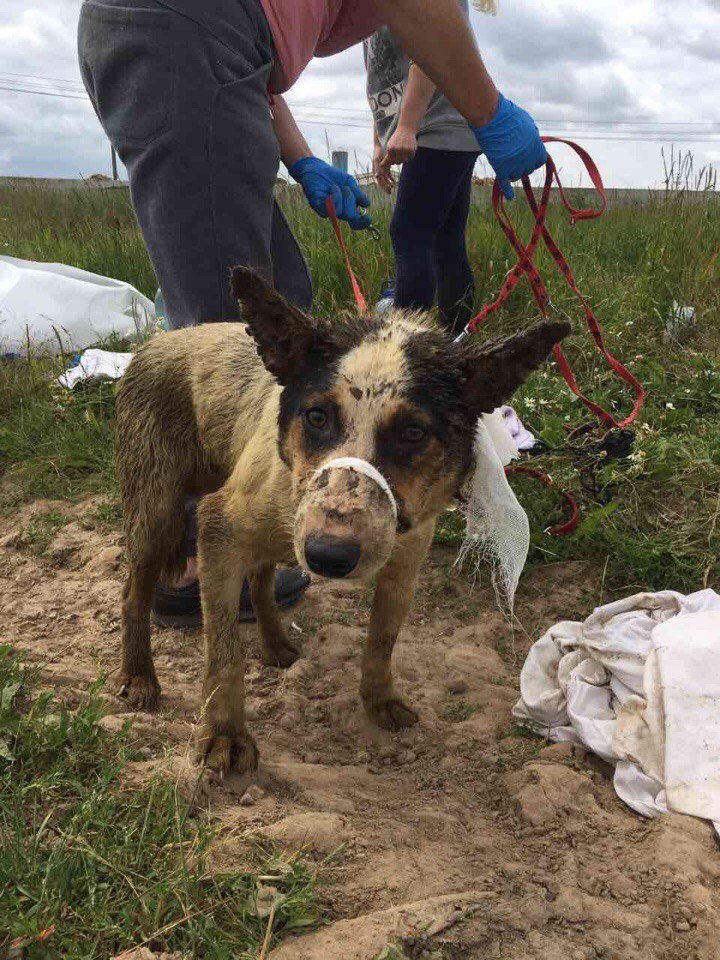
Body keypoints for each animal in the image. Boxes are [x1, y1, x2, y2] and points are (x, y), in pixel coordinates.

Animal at [118, 266, 568, 776]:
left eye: (413, 432)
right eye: (316, 416)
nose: (328, 557)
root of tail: (155, 342)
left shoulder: (405, 559)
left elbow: (382, 640)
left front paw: (379, 698)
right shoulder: (219, 530)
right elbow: (224, 654)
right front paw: (225, 733)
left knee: (260, 579)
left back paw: (275, 644)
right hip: (156, 512)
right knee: (133, 594)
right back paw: (139, 675)